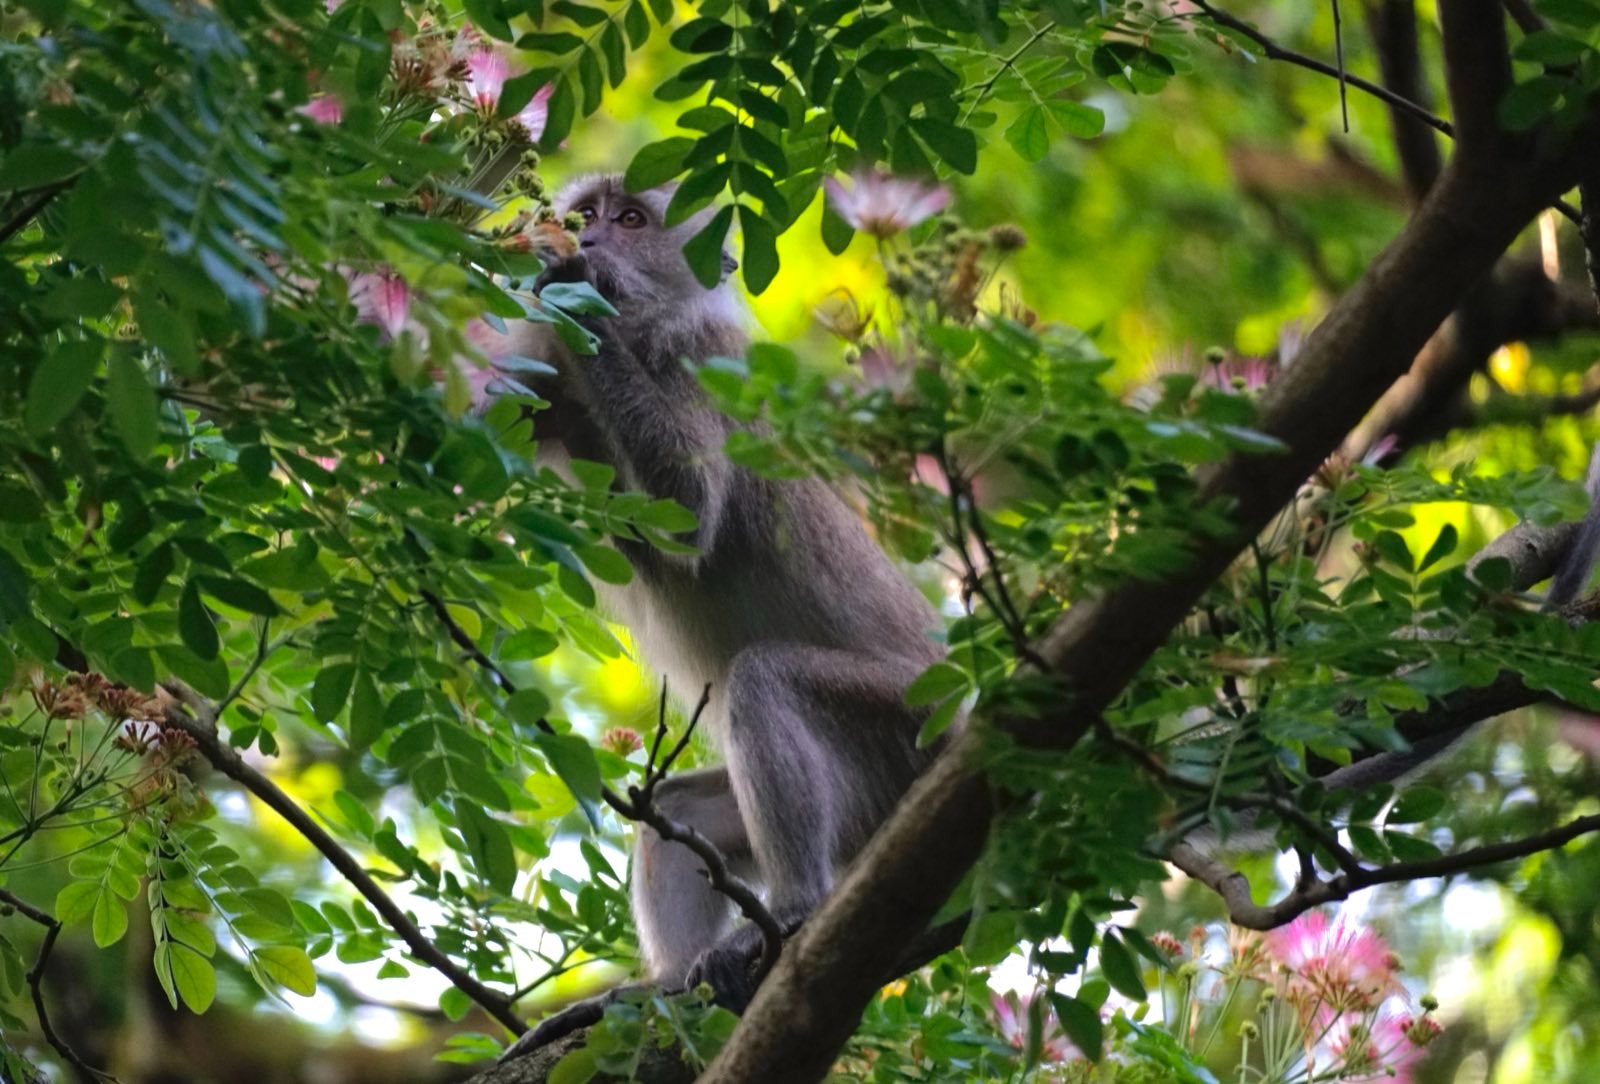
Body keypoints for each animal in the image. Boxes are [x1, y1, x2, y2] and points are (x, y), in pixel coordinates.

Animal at [492, 178, 947, 1055]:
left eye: (632, 220)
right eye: (589, 212)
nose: (586, 239)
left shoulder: (702, 365)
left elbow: (688, 513)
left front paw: (576, 288)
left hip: (900, 727)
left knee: (768, 679)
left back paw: (799, 907)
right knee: (675, 811)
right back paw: (659, 989)